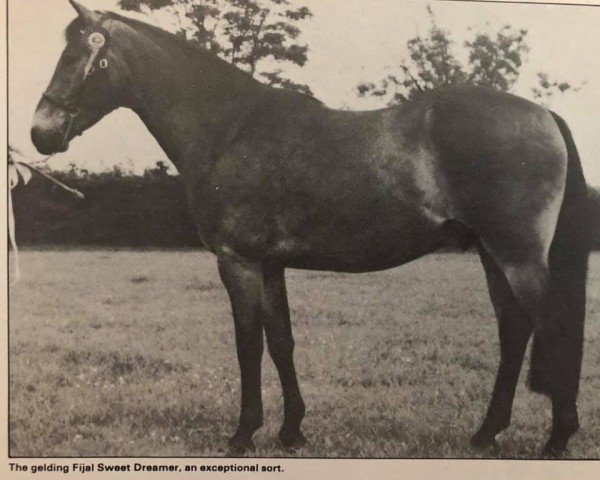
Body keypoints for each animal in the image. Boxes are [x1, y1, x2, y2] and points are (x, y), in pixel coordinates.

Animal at [31, 0, 592, 458]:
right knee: (514, 330)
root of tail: (543, 113)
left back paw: (557, 438)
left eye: (74, 57)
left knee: (550, 326)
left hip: (516, 256)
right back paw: (486, 433)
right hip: (492, 255)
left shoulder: (238, 261)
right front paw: (292, 431)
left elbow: (248, 344)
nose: (40, 134)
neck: (230, 127)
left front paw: (243, 434)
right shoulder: (270, 264)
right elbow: (282, 341)